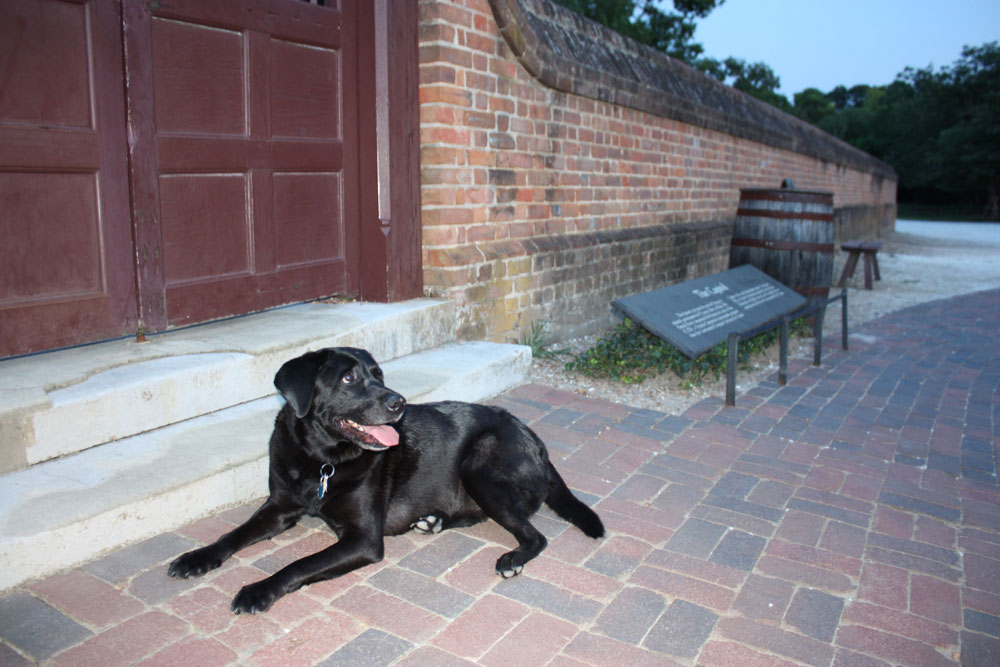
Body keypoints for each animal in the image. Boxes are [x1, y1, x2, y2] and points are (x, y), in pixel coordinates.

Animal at [167, 348, 600, 612]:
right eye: (348, 379)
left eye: (379, 375)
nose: (399, 402)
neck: (322, 461)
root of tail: (539, 444)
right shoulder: (278, 508)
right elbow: (232, 535)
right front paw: (196, 557)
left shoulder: (362, 539)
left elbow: (298, 564)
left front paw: (259, 589)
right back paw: (432, 522)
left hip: (479, 464)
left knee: (534, 534)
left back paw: (511, 558)